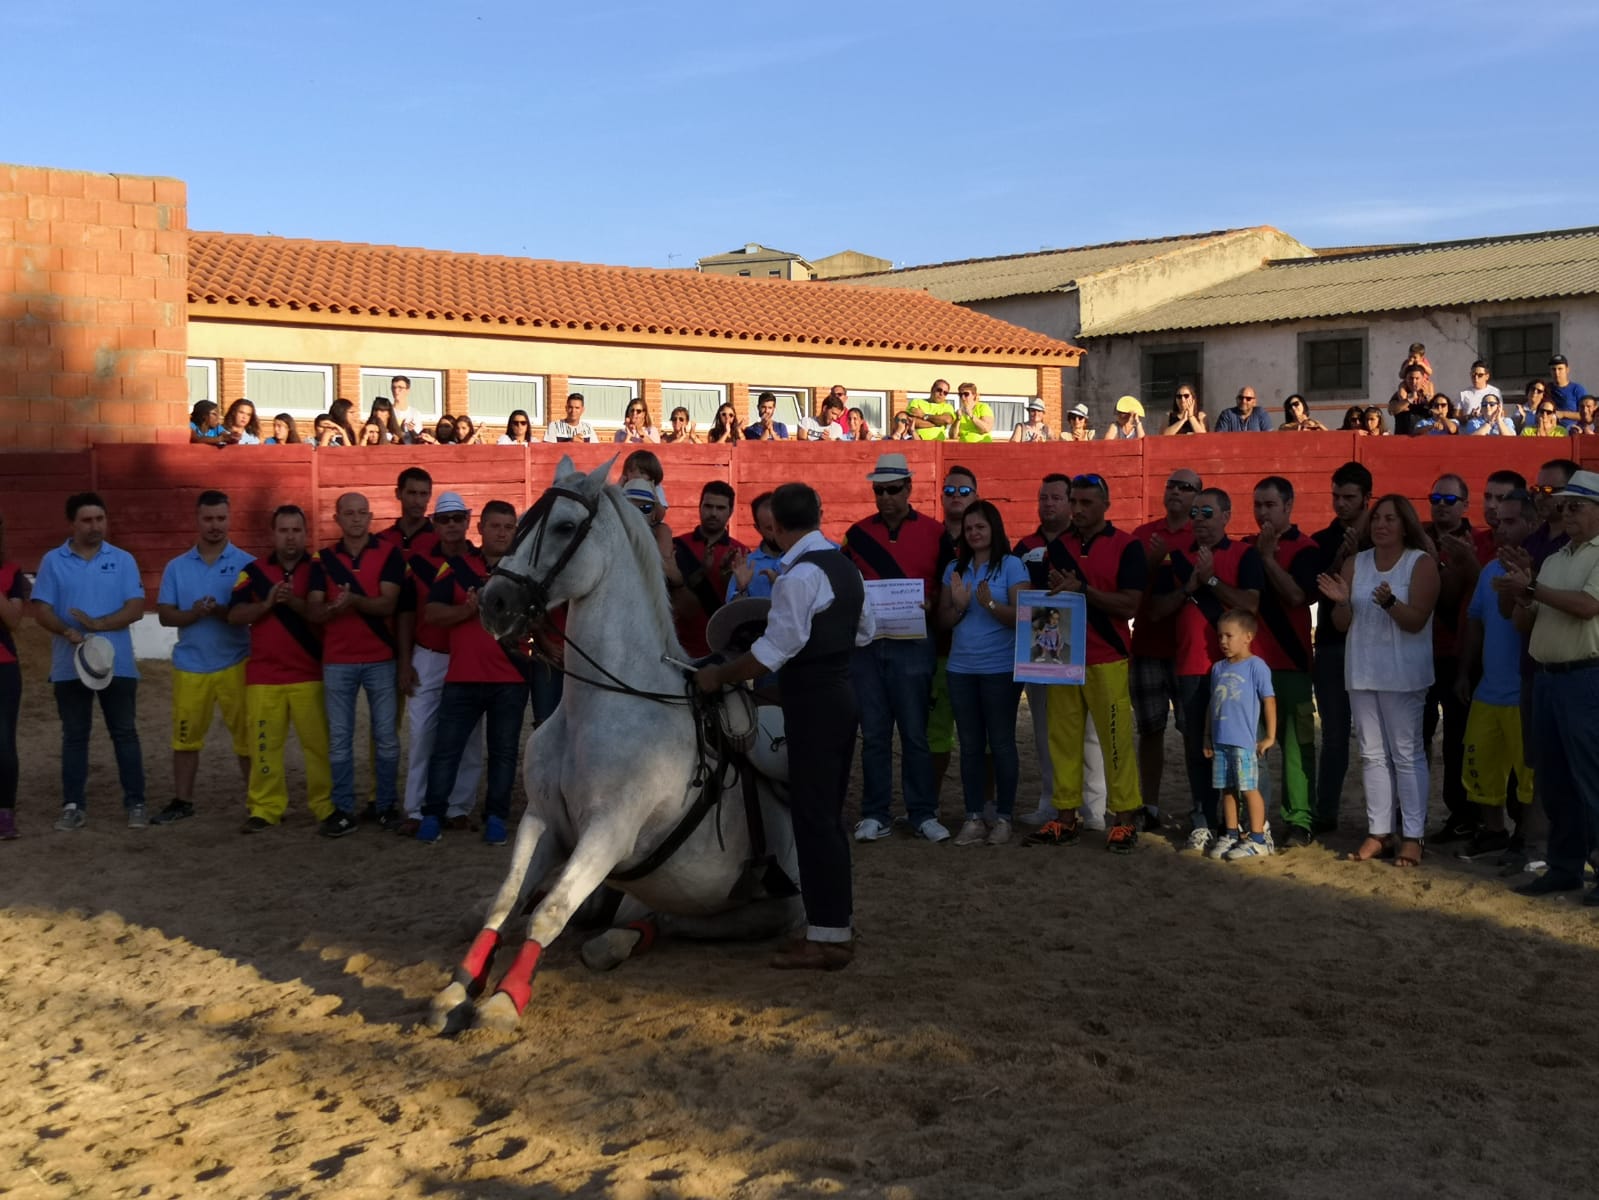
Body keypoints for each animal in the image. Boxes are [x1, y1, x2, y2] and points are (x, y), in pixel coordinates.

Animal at [425, 454, 799, 1036]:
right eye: (522, 522)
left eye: (562, 527)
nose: (494, 602)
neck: (598, 707)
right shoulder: (542, 820)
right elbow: (507, 902)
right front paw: (457, 987)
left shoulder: (610, 830)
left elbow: (550, 911)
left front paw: (505, 999)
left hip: (770, 901)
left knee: (670, 920)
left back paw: (617, 941)